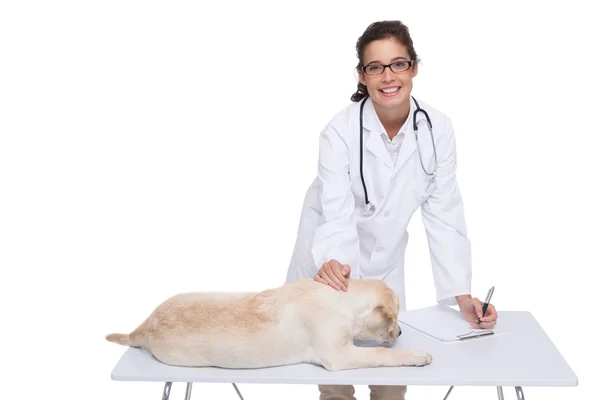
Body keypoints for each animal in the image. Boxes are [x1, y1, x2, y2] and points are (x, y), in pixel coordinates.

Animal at [104, 276, 432, 370]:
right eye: (395, 318)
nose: (401, 330)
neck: (344, 301)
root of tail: (142, 327)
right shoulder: (339, 355)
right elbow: (381, 352)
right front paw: (416, 355)